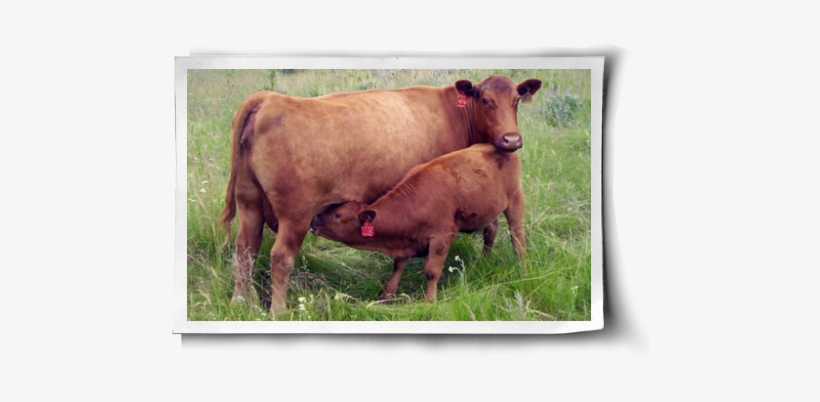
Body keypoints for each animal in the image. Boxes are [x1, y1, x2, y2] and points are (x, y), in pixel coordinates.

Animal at [308, 143, 525, 302]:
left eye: (337, 215)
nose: (314, 220)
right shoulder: (407, 239)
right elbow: (398, 265)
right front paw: (387, 295)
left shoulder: (441, 236)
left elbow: (431, 271)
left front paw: (429, 301)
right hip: (488, 209)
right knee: (491, 230)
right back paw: (485, 260)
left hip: (515, 201)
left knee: (517, 237)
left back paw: (521, 265)